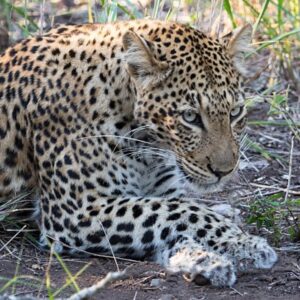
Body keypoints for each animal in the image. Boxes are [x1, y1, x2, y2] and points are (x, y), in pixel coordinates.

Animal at [0, 19, 276, 288]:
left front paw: (207, 260)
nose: (224, 171)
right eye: (190, 117)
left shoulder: (162, 194)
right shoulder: (76, 211)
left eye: (235, 113)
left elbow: (175, 221)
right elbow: (184, 210)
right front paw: (245, 243)